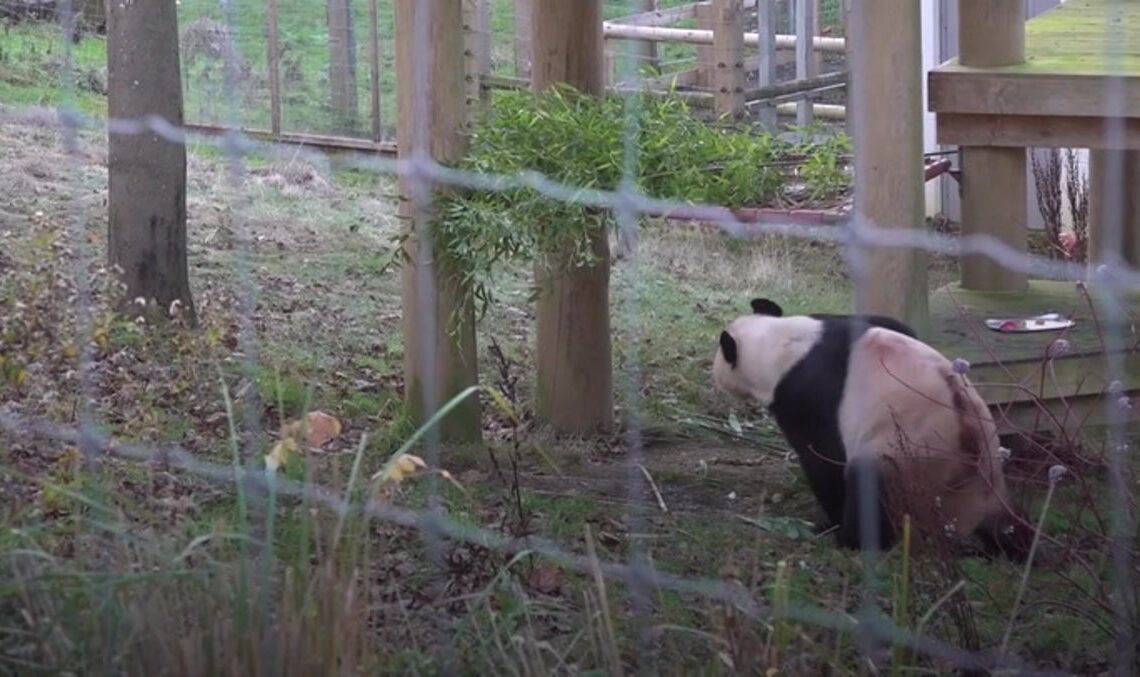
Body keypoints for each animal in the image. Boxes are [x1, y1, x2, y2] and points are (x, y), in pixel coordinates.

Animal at [711, 298, 1035, 556]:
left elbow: (823, 458)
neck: (785, 343)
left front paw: (830, 522)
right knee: (1011, 524)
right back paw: (1017, 548)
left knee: (870, 487)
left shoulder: (805, 393)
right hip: (991, 480)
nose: (714, 376)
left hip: (910, 460)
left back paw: (853, 540)